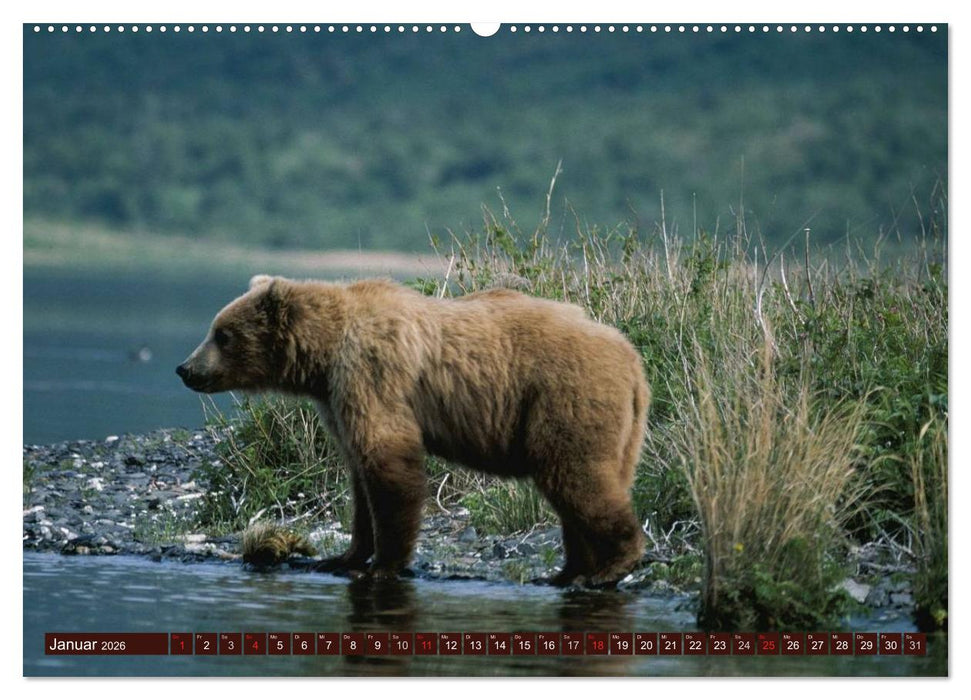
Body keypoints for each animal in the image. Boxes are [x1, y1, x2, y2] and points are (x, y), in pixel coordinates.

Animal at [177, 275, 650, 586]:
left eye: (223, 334)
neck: (323, 358)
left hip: (564, 398)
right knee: (583, 486)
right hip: (619, 427)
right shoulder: (336, 399)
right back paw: (566, 572)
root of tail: (632, 358)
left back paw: (612, 565)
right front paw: (343, 556)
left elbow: (388, 462)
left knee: (576, 477)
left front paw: (384, 564)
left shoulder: (371, 373)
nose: (185, 368)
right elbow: (359, 479)